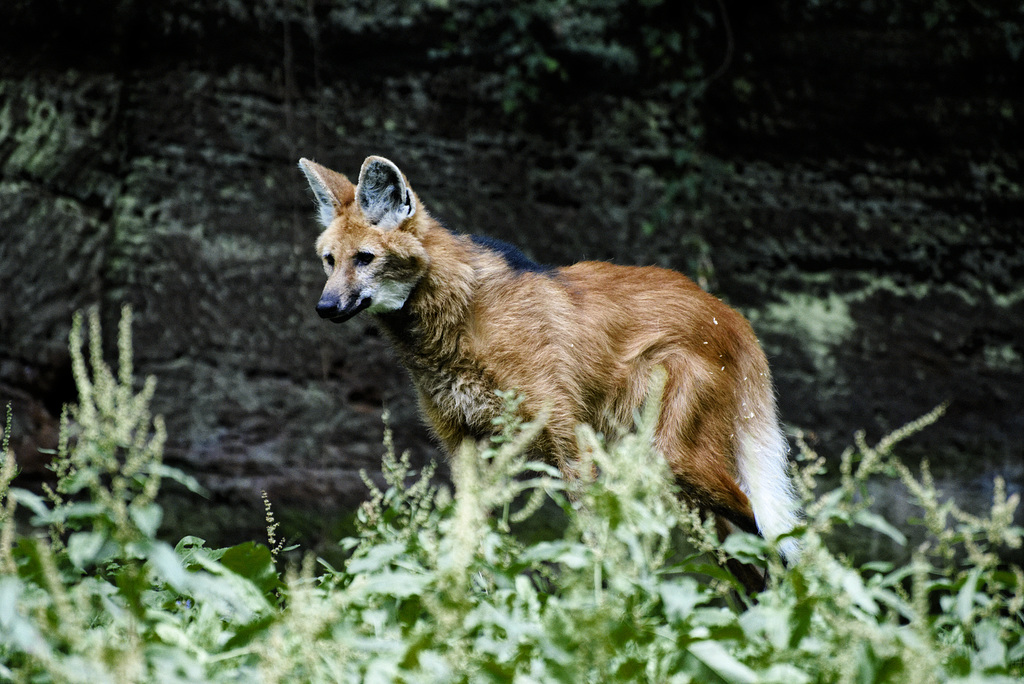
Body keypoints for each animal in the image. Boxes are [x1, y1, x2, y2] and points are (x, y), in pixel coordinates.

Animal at [296, 156, 798, 589]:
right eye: (329, 260)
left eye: (364, 258)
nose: (325, 307)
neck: (457, 324)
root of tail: (730, 314)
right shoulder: (464, 445)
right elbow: (470, 545)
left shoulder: (569, 441)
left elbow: (595, 544)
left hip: (674, 461)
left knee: (777, 536)